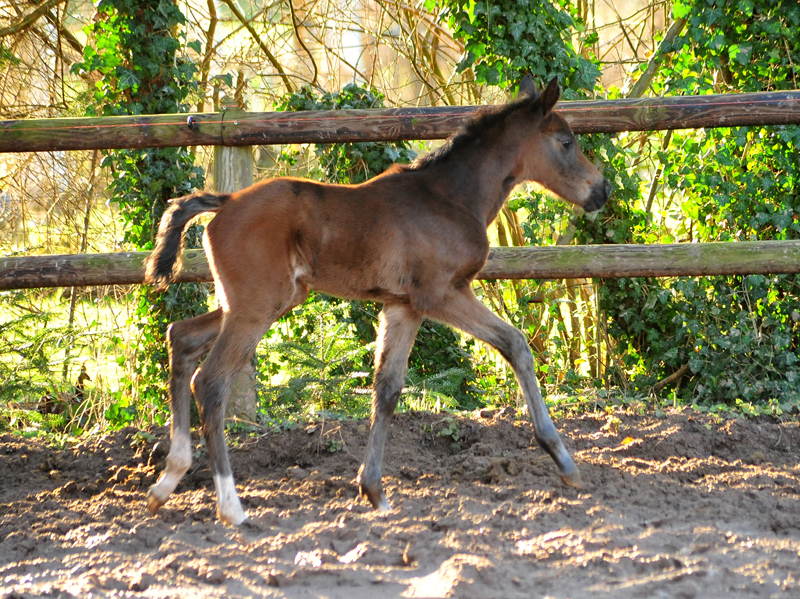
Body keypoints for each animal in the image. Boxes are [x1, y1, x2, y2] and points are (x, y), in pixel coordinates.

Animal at [144, 75, 608, 524]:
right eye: (566, 142)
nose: (601, 190)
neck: (451, 198)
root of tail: (225, 202)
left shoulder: (403, 305)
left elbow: (387, 388)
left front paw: (374, 491)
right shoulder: (440, 293)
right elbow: (515, 344)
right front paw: (562, 459)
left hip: (258, 301)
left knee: (181, 336)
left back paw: (168, 480)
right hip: (255, 307)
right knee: (211, 382)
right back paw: (231, 507)